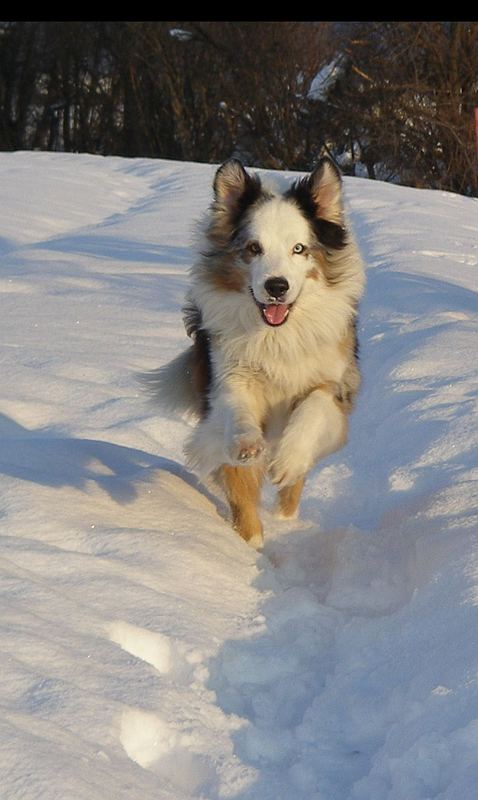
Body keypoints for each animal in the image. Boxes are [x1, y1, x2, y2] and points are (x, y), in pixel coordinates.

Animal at [148, 159, 364, 552]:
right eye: (253, 248)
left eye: (299, 248)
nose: (276, 286)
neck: (276, 335)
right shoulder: (228, 377)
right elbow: (237, 413)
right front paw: (248, 446)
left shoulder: (337, 381)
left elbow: (315, 406)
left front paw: (287, 460)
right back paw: (253, 541)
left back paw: (286, 516)